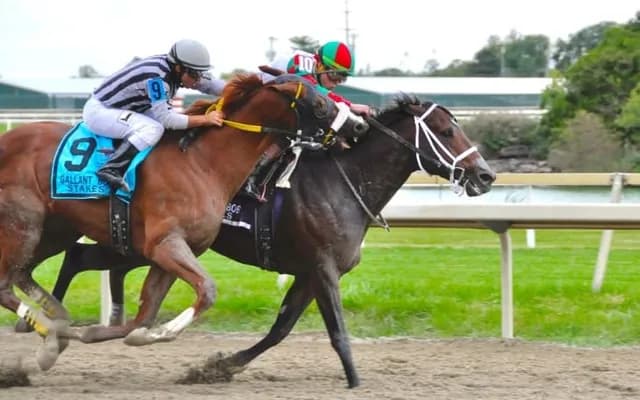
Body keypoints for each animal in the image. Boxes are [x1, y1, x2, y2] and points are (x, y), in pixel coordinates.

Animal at [0, 73, 368, 371]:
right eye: (319, 103)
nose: (359, 126)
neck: (203, 163)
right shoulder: (166, 244)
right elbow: (206, 291)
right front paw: (161, 333)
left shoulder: (175, 250)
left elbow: (145, 315)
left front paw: (132, 334)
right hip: (24, 224)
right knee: (7, 283)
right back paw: (50, 336)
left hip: (55, 229)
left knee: (25, 272)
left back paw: (57, 323)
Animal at [37, 95, 496, 387]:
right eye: (445, 130)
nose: (486, 175)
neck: (343, 182)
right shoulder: (323, 267)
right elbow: (337, 331)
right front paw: (354, 381)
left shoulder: (309, 273)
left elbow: (281, 328)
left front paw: (220, 367)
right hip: (152, 242)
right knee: (78, 257)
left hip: (143, 246)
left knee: (86, 259)